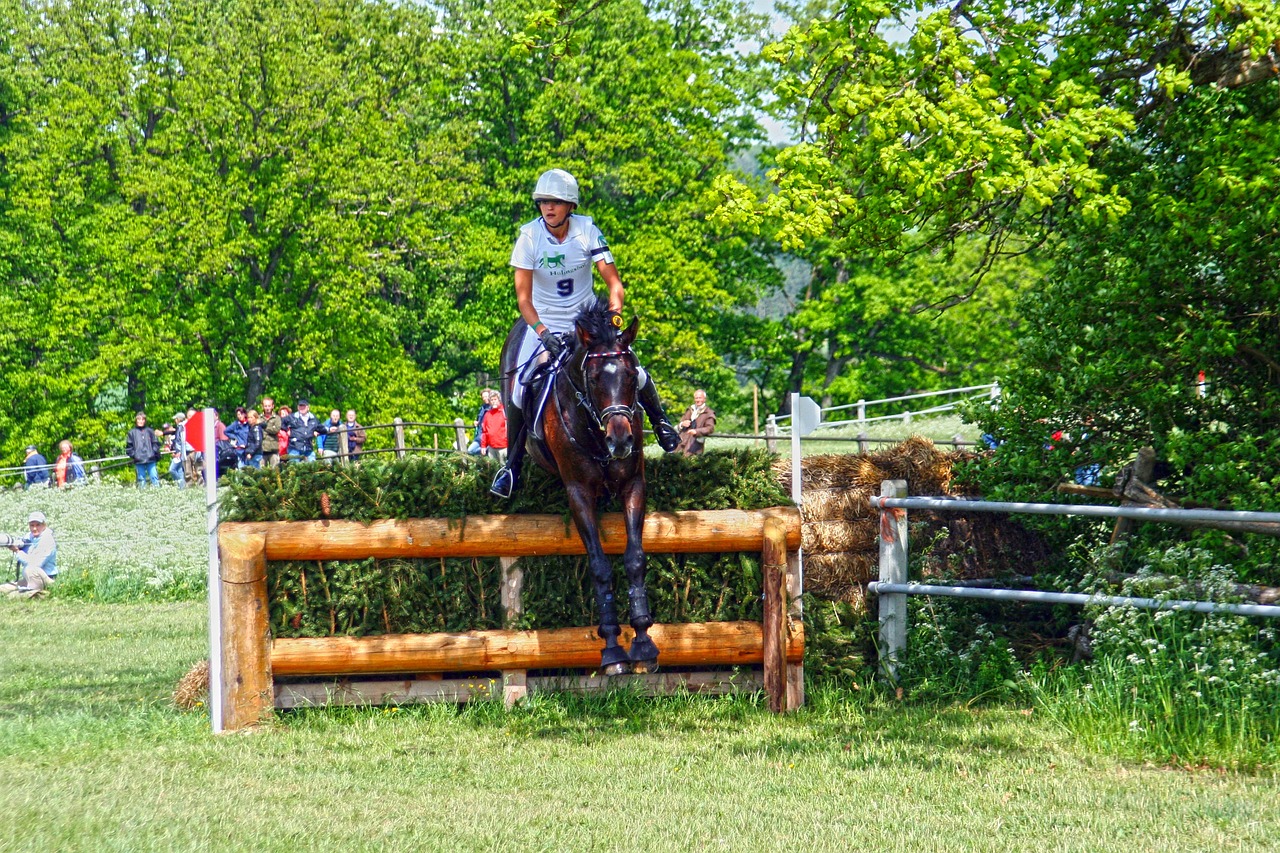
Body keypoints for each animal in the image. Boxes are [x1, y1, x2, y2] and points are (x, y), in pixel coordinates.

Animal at [499, 295, 660, 676]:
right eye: (595, 378)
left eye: (631, 375)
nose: (621, 440)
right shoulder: (579, 494)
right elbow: (600, 567)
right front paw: (613, 650)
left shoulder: (633, 485)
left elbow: (634, 558)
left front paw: (643, 641)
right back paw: (507, 474)